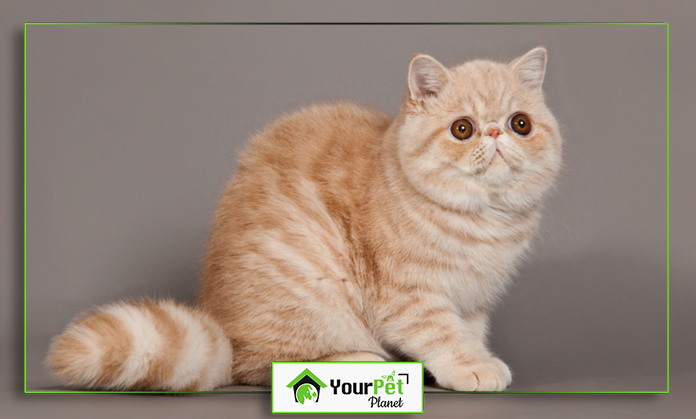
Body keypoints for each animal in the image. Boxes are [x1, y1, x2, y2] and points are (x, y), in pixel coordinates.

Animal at [47, 46, 560, 394]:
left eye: (520, 124)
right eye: (462, 129)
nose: (494, 134)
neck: (484, 221)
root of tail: (224, 332)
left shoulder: (473, 299)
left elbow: (469, 331)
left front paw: (479, 357)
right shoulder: (409, 297)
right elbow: (442, 334)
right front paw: (469, 366)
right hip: (312, 293)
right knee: (265, 366)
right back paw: (362, 363)